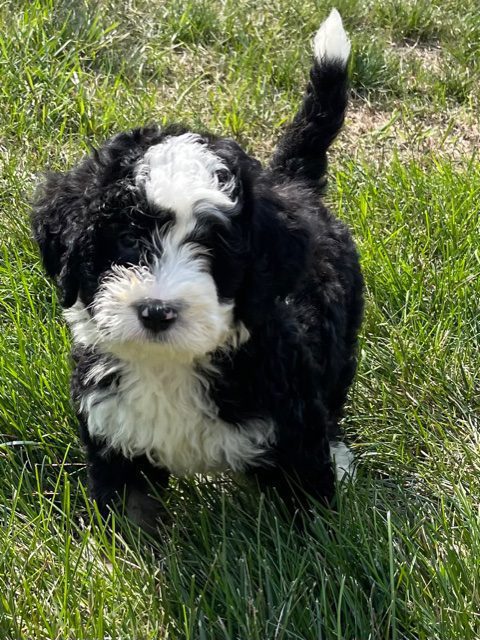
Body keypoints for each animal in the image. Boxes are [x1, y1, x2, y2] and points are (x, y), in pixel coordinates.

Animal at [31, 10, 364, 528]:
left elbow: (309, 514)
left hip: (341, 339)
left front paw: (323, 542)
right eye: (128, 240)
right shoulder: (114, 436)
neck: (171, 363)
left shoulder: (293, 432)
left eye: (213, 251)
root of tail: (293, 182)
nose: (157, 311)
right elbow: (132, 521)